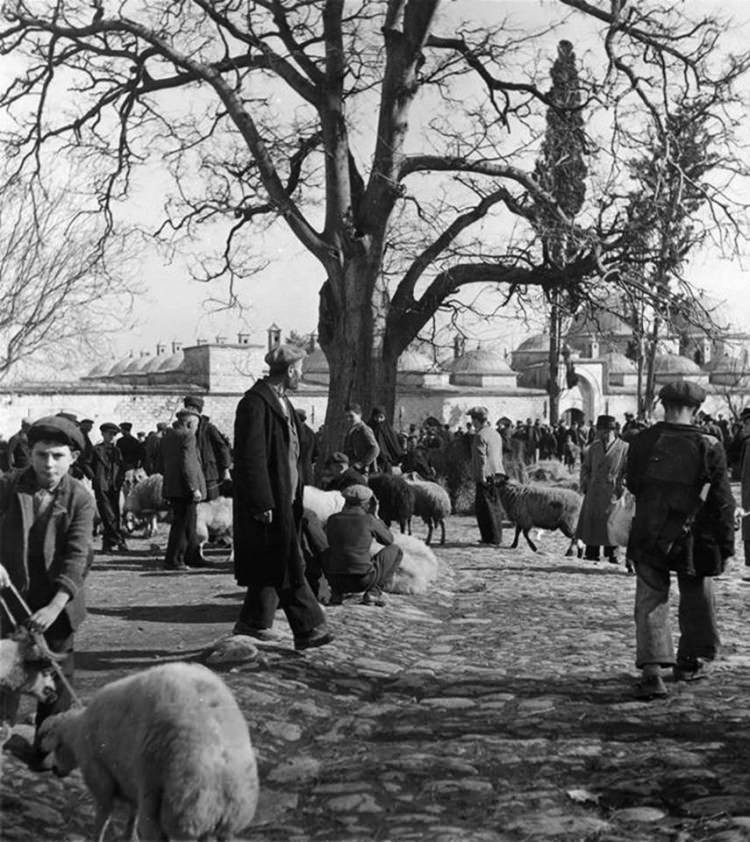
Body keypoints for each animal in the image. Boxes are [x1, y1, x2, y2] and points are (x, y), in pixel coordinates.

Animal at [39, 660, 262, 840]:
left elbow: (102, 820)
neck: (79, 733)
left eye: (57, 745)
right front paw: (128, 837)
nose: (55, 770)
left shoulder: (102, 780)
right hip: (226, 824)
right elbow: (131, 816)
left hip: (166, 806)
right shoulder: (129, 781)